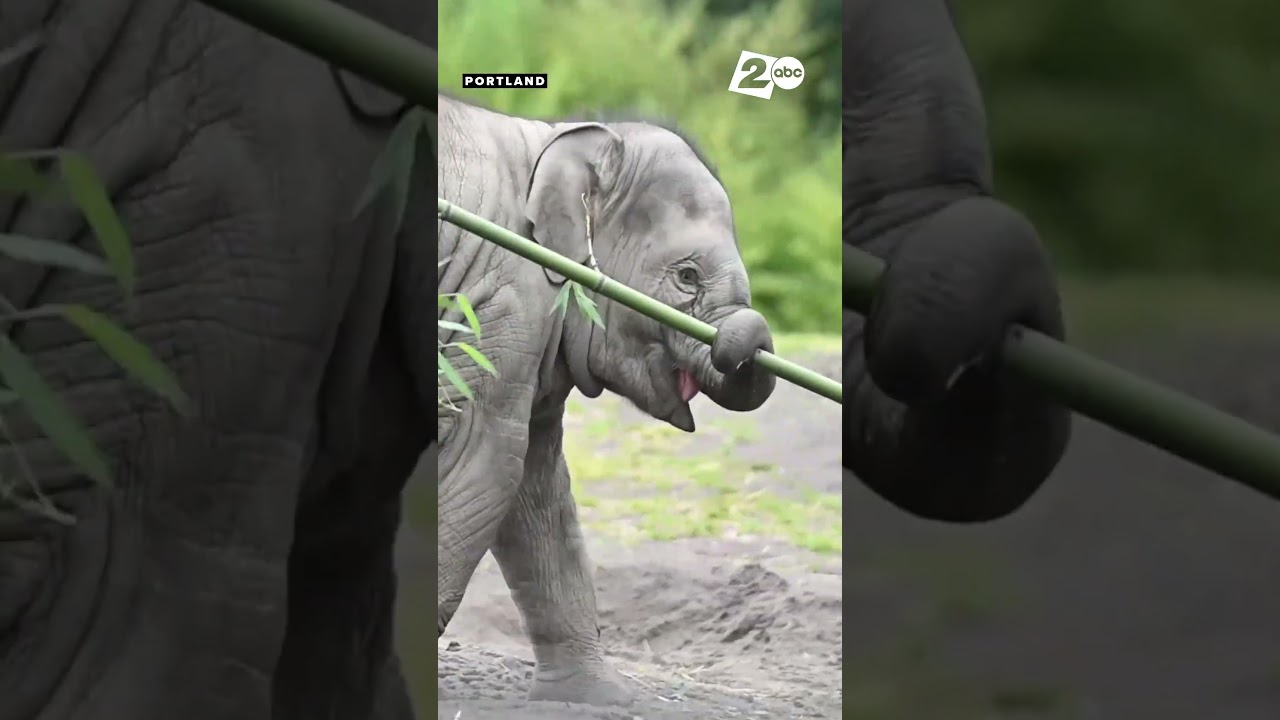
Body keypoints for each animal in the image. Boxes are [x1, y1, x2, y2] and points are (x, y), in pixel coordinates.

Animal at [436, 93, 778, 705]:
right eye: (687, 277)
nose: (751, 345)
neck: (554, 141)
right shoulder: (502, 303)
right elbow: (482, 461)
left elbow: (535, 488)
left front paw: (608, 699)